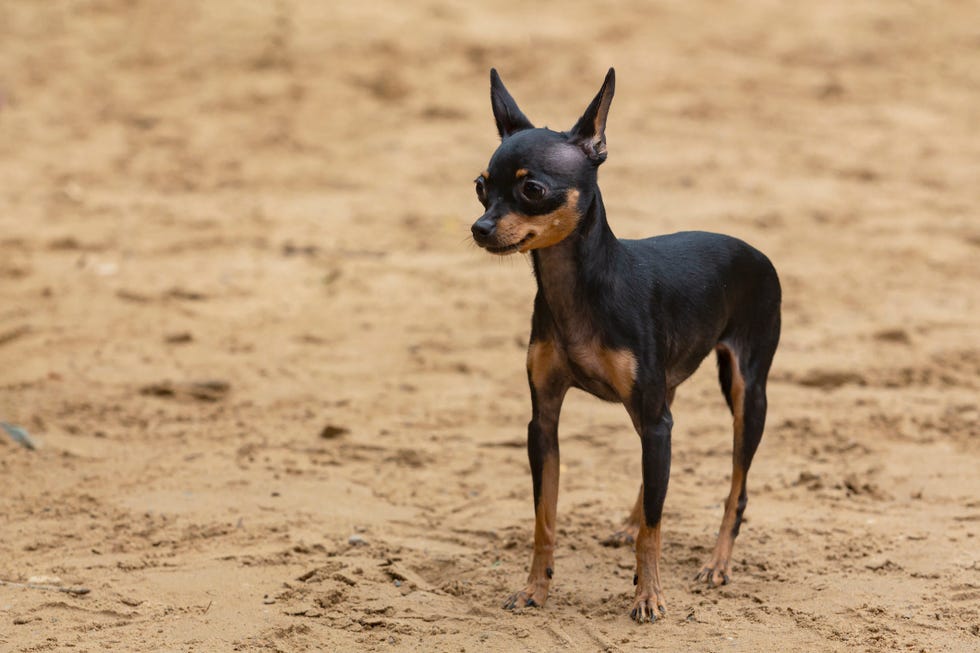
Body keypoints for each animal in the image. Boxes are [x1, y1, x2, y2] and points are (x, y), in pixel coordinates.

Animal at [470, 67, 784, 620]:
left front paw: (649, 595)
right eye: (480, 187)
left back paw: (718, 562)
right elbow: (544, 518)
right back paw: (629, 522)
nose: (479, 228)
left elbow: (656, 530)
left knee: (737, 488)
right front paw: (535, 589)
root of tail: (755, 251)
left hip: (748, 394)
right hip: (666, 396)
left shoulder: (659, 420)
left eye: (532, 189)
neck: (581, 289)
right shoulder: (544, 423)